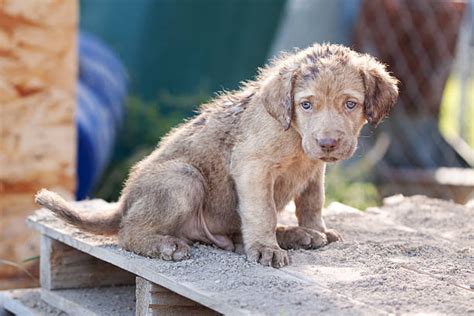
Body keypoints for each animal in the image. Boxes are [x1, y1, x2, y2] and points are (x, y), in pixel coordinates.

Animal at [37, 43, 398, 266]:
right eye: (306, 104)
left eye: (350, 104)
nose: (328, 142)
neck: (295, 138)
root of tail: (123, 202)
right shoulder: (252, 168)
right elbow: (263, 212)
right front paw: (266, 249)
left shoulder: (313, 172)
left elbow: (312, 204)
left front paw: (316, 229)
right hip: (183, 178)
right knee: (128, 233)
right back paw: (163, 245)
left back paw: (299, 235)